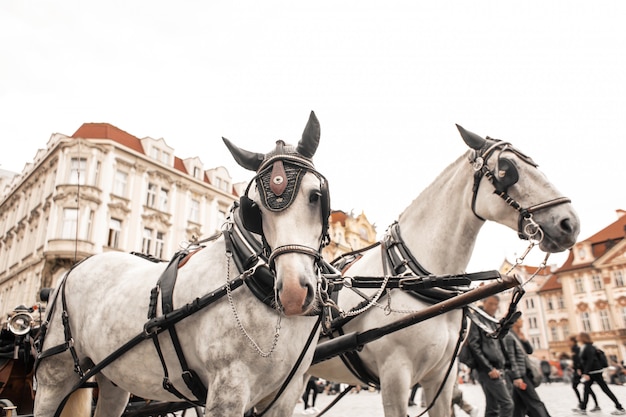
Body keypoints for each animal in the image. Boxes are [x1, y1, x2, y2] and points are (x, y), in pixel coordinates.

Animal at [33, 110, 330, 416]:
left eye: (316, 196)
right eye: (255, 210)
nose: (293, 292)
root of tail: (73, 269)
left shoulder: (285, 395)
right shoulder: (227, 391)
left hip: (113, 378)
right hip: (55, 375)